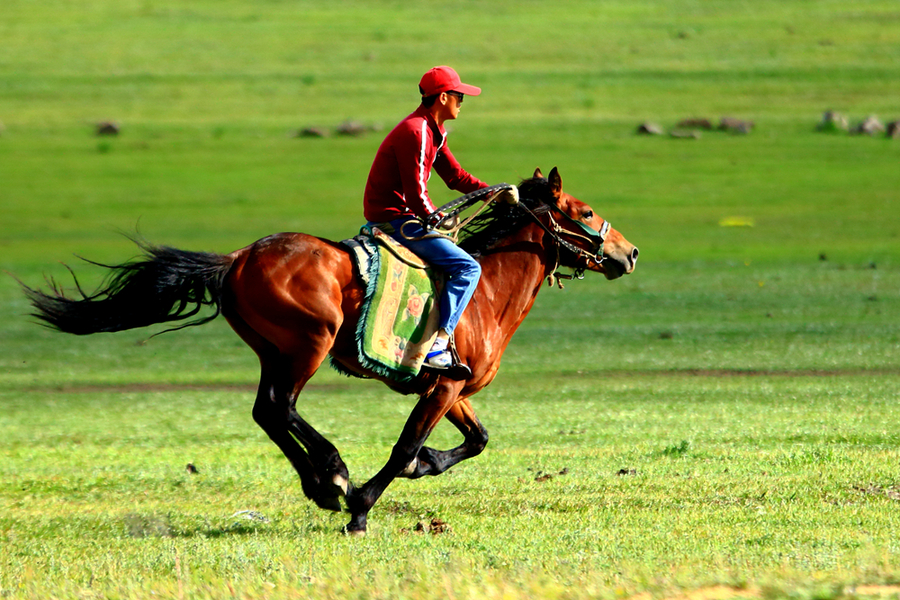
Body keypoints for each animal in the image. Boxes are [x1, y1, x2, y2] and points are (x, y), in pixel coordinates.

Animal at [24, 165, 636, 536]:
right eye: (583, 212)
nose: (628, 253)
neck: (485, 291)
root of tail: (238, 257)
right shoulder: (443, 384)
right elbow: (405, 446)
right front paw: (361, 506)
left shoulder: (451, 386)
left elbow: (475, 440)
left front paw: (423, 466)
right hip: (309, 344)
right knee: (281, 406)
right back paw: (333, 476)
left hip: (275, 350)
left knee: (266, 411)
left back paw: (320, 484)